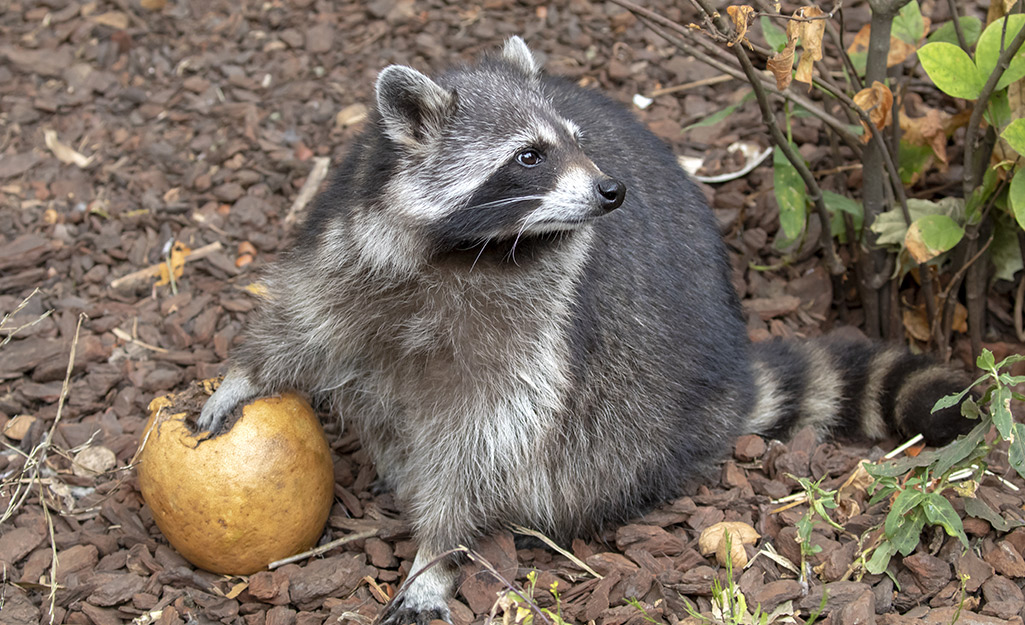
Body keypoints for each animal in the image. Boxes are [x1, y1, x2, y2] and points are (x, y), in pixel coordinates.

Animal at [197, 37, 967, 622]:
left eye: (573, 142)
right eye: (528, 155)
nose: (611, 190)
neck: (463, 248)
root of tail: (725, 387)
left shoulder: (538, 320)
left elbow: (488, 434)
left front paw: (442, 548)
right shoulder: (352, 238)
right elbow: (309, 319)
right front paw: (244, 375)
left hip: (638, 411)